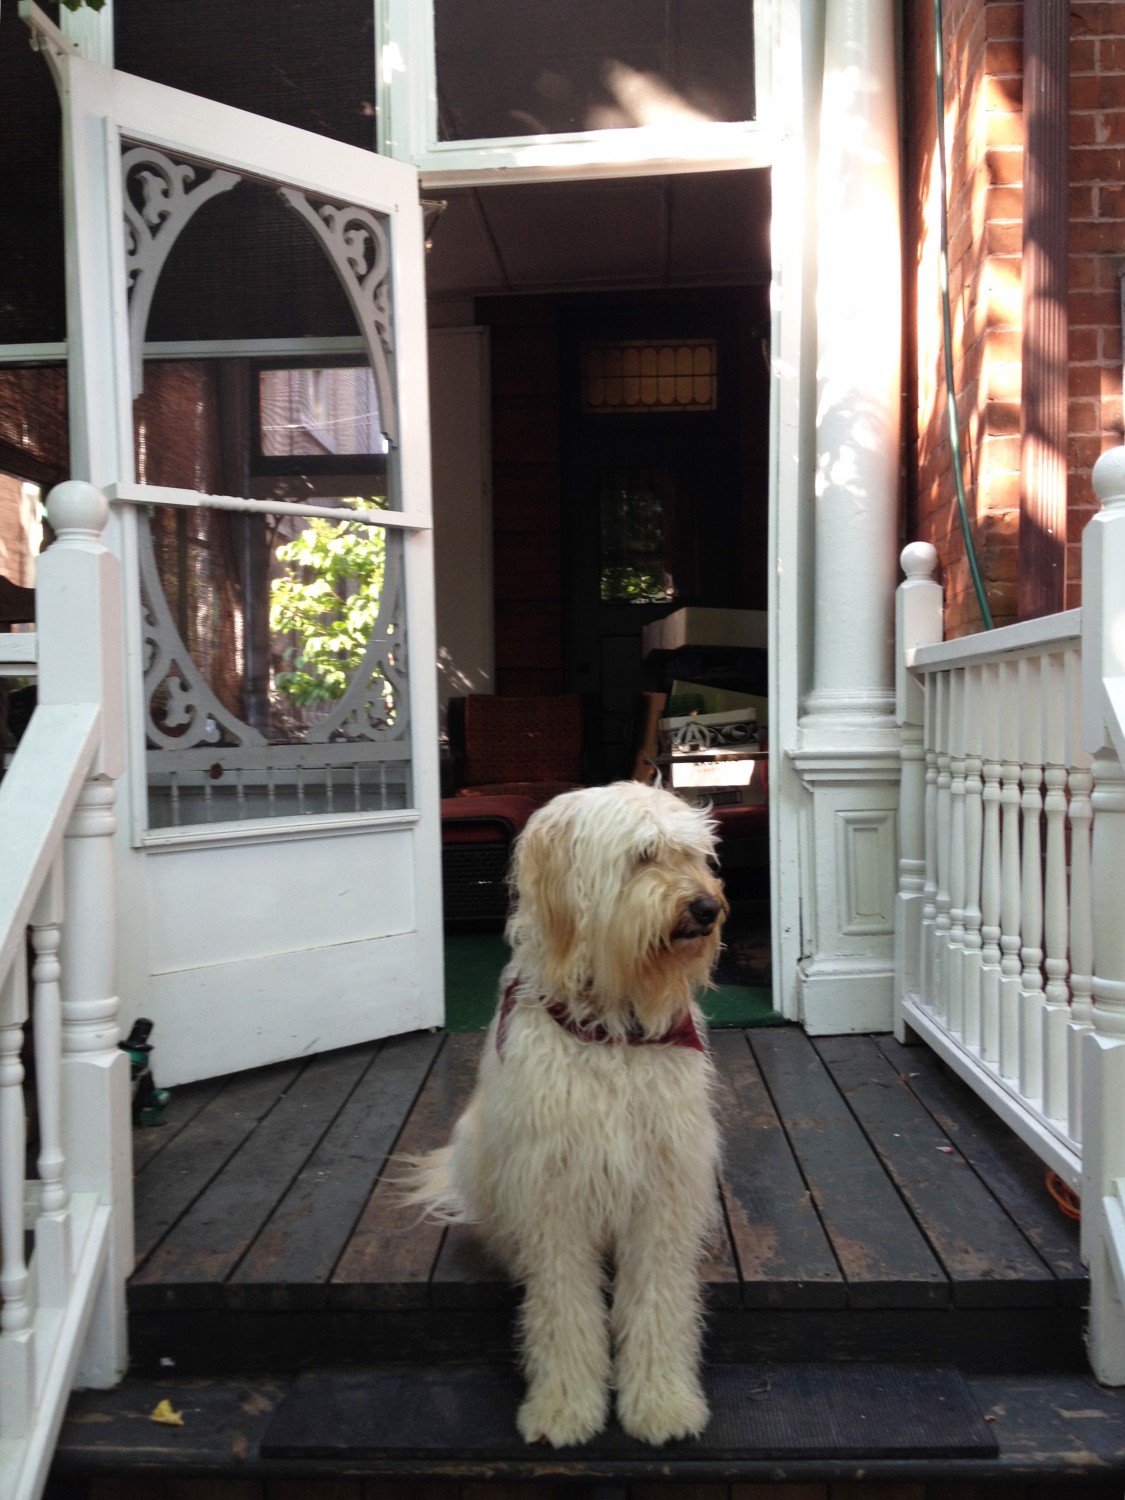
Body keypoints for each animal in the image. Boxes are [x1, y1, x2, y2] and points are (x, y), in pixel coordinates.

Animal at [411, 780, 726, 1446]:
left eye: (694, 856)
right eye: (643, 856)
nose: (708, 907)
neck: (613, 1029)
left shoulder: (663, 1184)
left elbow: (659, 1300)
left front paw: (662, 1400)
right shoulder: (552, 1191)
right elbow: (562, 1306)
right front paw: (564, 1405)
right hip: (478, 1145)